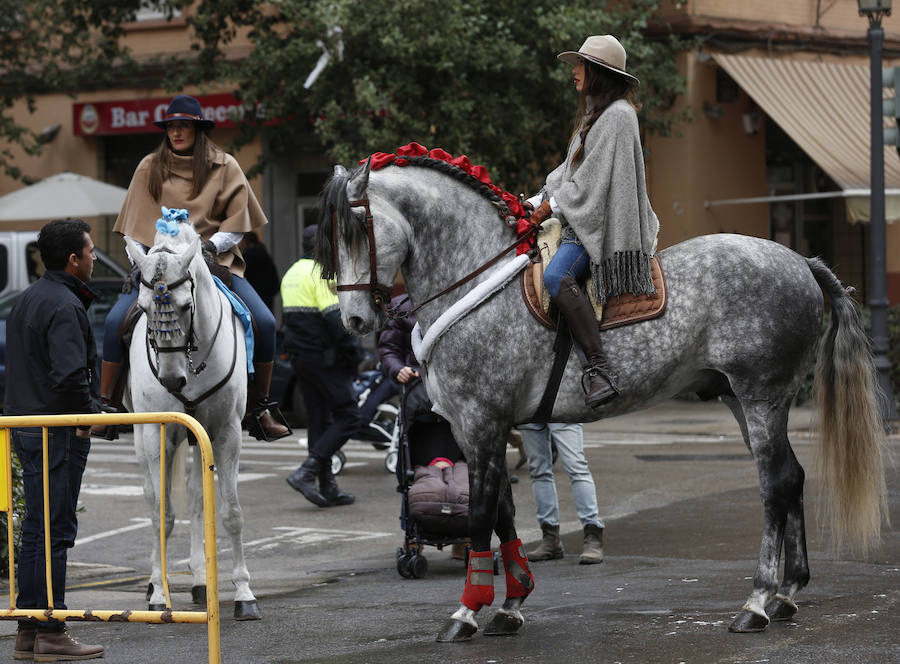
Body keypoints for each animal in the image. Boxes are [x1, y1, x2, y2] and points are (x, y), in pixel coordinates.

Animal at [122, 218, 260, 624]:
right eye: (142, 306)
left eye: (186, 305)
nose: (171, 380)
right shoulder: (157, 433)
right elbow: (160, 515)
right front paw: (158, 594)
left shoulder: (227, 432)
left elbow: (229, 512)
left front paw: (244, 593)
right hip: (145, 438)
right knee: (155, 497)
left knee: (198, 498)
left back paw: (200, 580)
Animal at [314, 157, 884, 644]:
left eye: (356, 227)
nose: (356, 320)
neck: (474, 280)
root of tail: (800, 260)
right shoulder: (483, 427)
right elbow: (502, 513)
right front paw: (512, 603)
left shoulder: (481, 422)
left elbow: (479, 515)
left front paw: (468, 610)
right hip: (745, 402)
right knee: (792, 478)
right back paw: (788, 592)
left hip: (760, 395)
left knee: (774, 485)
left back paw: (759, 600)